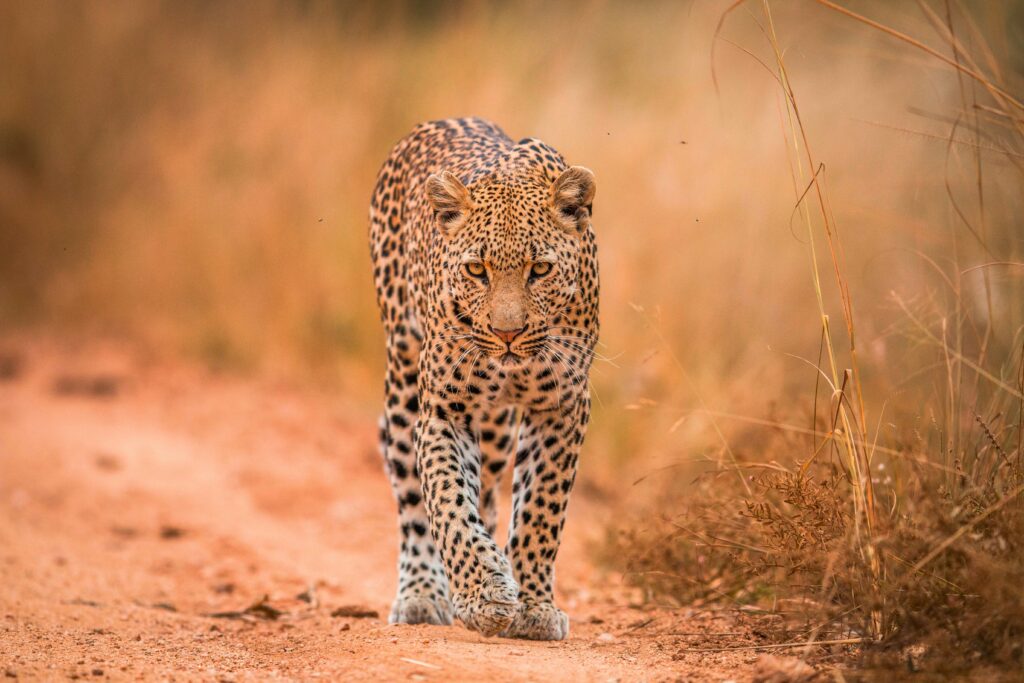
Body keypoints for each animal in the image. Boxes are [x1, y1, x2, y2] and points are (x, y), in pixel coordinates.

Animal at [368, 117, 598, 643]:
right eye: (476, 269)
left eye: (540, 269)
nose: (507, 333)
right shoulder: (444, 410)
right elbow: (449, 502)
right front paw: (483, 594)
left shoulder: (562, 406)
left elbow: (540, 509)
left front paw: (533, 607)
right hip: (403, 382)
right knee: (412, 497)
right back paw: (422, 594)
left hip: (496, 430)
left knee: (491, 492)